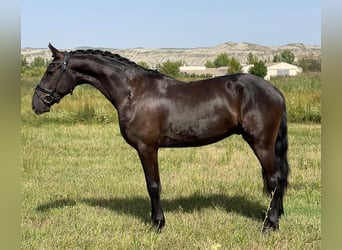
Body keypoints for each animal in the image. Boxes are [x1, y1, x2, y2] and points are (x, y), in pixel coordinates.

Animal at [32, 43, 288, 232]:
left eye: (51, 70)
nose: (36, 104)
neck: (133, 91)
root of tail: (274, 91)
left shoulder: (147, 147)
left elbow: (153, 185)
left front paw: (157, 223)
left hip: (261, 144)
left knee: (275, 180)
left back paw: (270, 225)